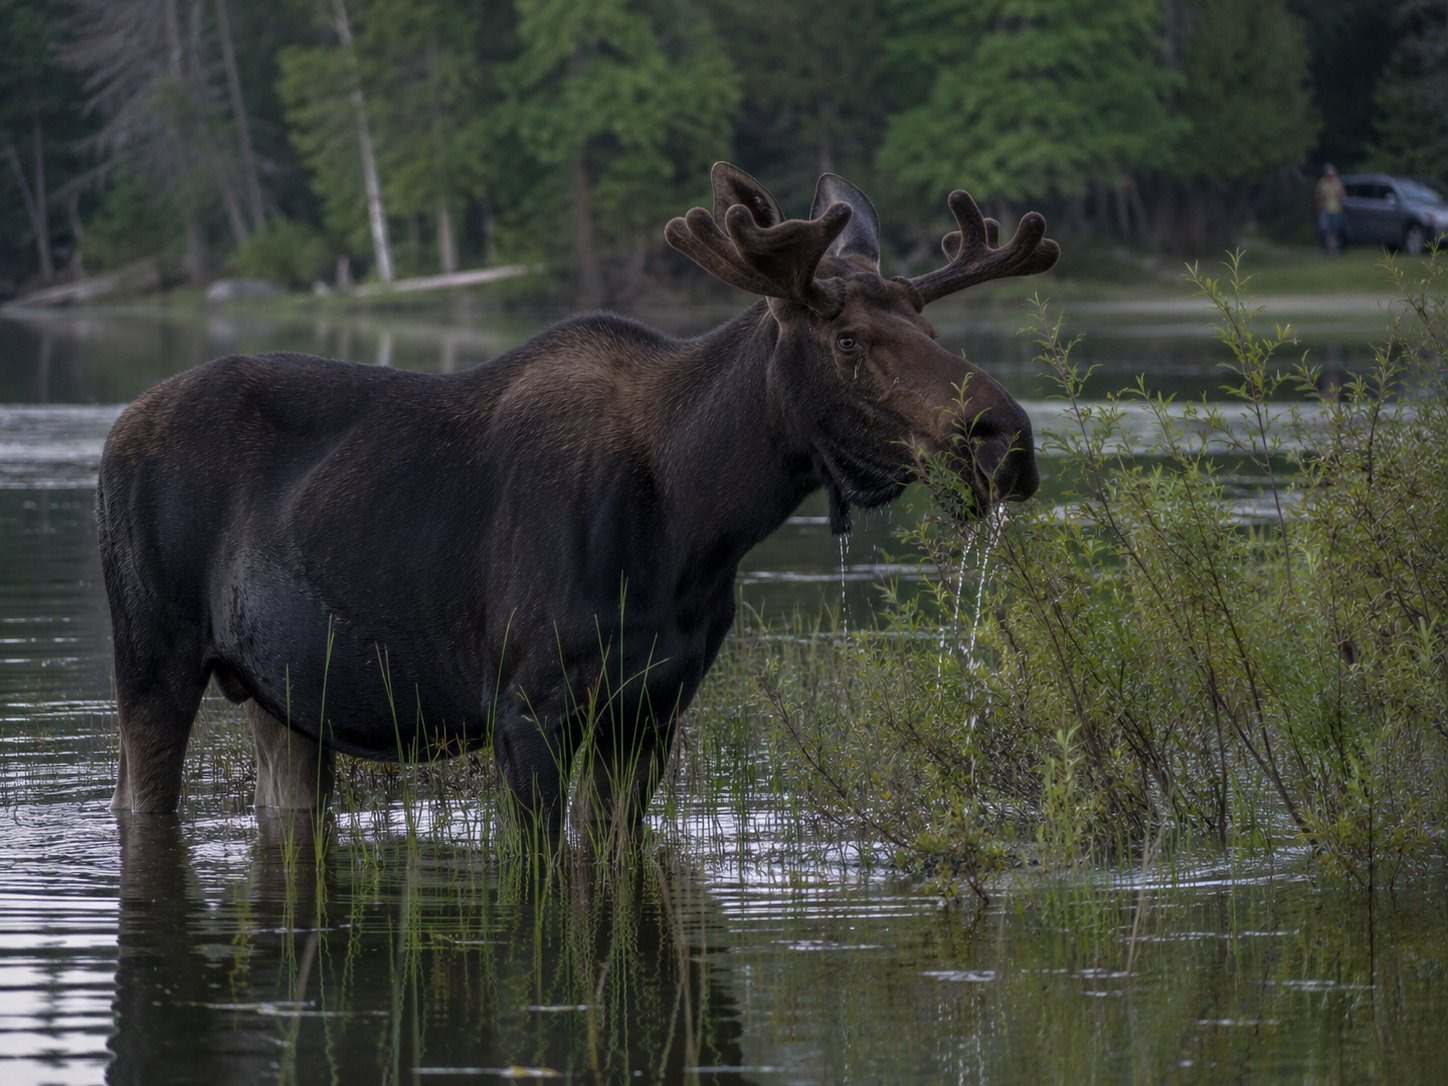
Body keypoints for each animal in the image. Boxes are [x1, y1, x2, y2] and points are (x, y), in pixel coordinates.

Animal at [97, 162, 1058, 846]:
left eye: (930, 329)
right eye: (850, 341)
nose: (1005, 440)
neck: (697, 527)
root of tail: (114, 431)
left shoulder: (651, 712)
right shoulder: (527, 708)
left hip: (284, 698)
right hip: (153, 657)